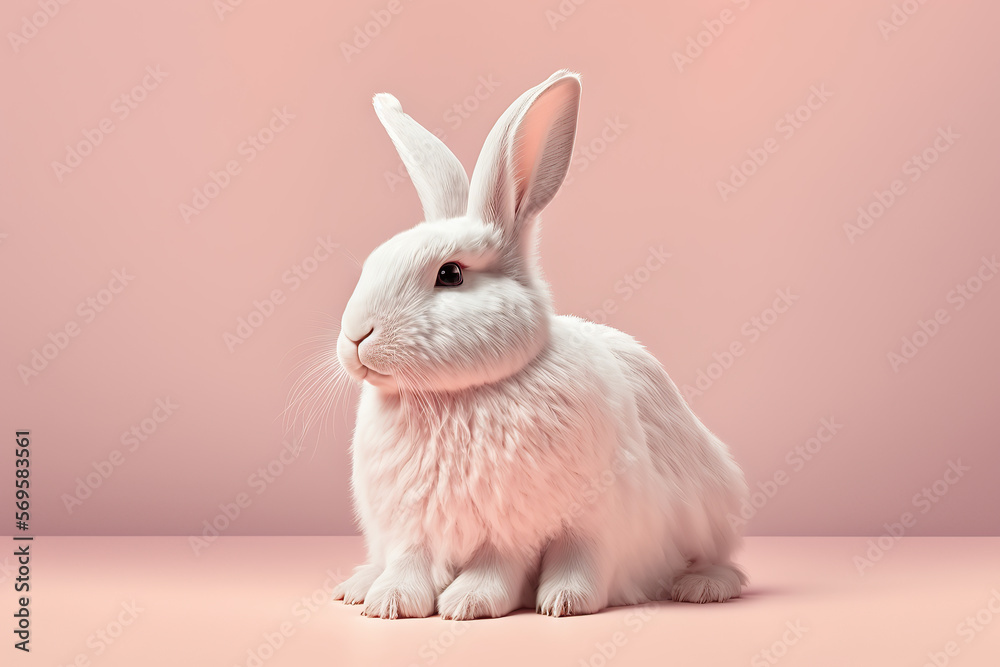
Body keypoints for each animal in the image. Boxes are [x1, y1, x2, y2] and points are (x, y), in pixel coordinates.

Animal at [330, 70, 748, 619]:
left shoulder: (562, 522)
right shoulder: (412, 525)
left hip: (704, 504)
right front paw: (390, 602)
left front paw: (535, 601)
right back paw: (357, 585)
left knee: (716, 557)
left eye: (450, 274)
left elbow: (542, 561)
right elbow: (410, 561)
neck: (458, 395)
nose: (355, 336)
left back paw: (702, 586)